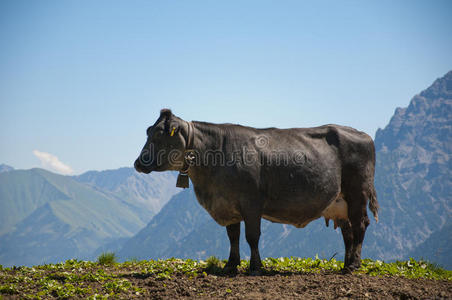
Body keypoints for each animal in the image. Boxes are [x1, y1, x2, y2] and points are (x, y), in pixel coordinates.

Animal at [133, 109, 378, 276]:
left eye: (158, 135)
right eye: (148, 132)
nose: (137, 163)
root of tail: (363, 134)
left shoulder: (251, 203)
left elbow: (252, 236)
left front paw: (255, 266)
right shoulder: (228, 204)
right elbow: (233, 236)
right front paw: (230, 265)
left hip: (358, 193)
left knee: (360, 225)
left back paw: (355, 264)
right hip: (340, 203)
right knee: (348, 232)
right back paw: (345, 265)